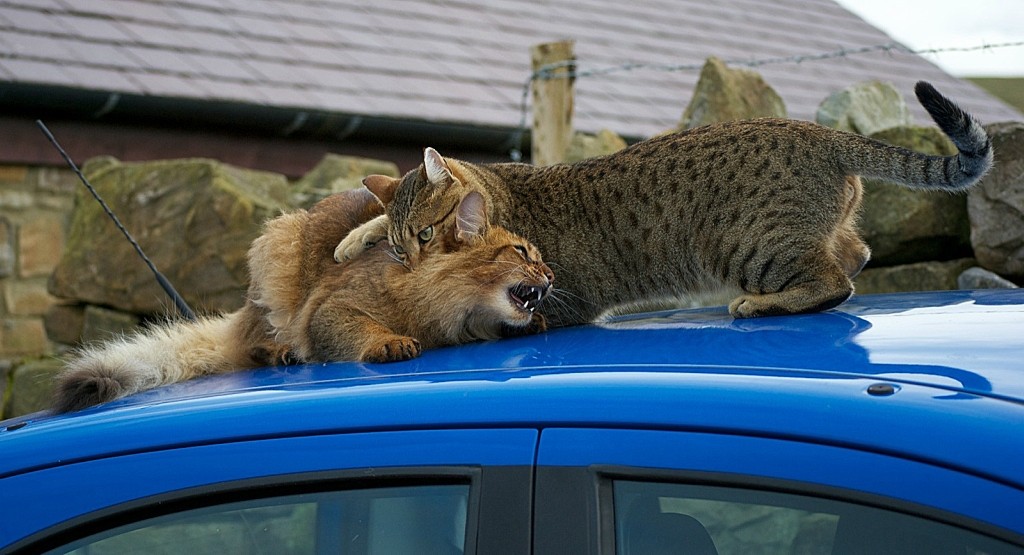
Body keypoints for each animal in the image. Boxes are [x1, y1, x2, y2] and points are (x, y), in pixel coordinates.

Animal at [54, 188, 552, 413]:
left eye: (539, 256)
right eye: (522, 252)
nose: (550, 274)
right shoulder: (328, 309)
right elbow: (358, 327)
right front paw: (388, 341)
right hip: (276, 249)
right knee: (251, 342)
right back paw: (281, 351)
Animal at [335, 82, 991, 325]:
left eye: (427, 235)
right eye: (403, 247)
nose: (413, 260)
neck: (501, 195)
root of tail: (819, 133)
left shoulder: (554, 302)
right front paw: (355, 239)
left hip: (747, 246)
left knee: (835, 280)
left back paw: (760, 304)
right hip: (813, 229)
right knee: (855, 252)